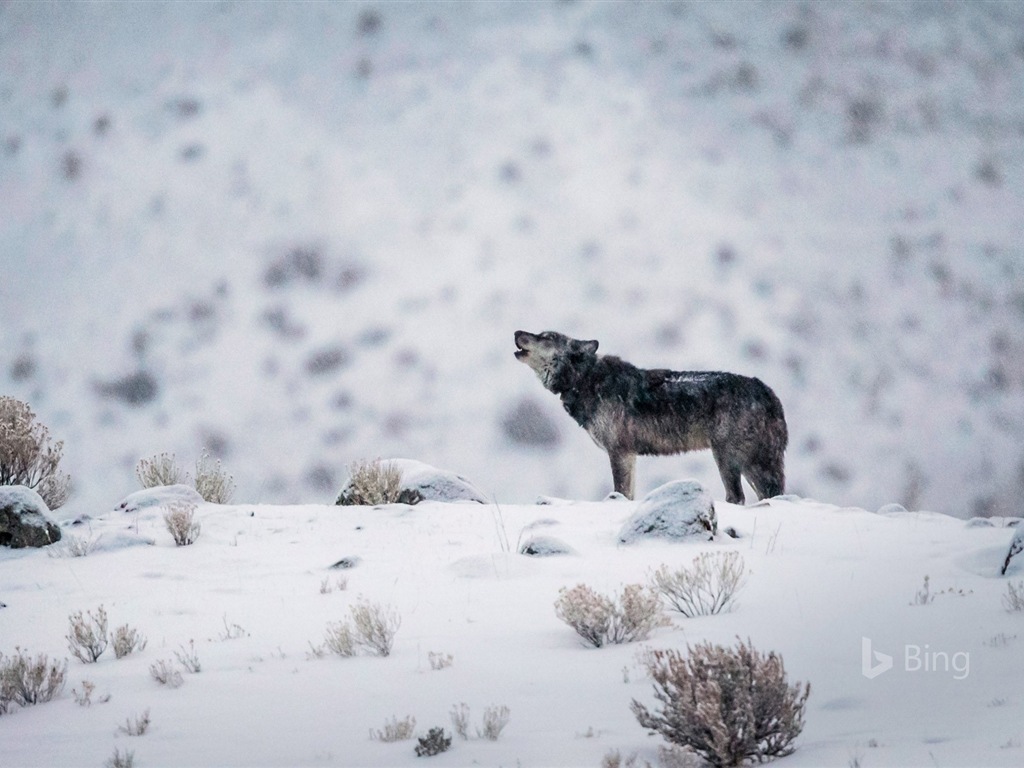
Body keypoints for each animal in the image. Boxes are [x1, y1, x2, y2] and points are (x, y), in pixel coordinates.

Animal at [516, 331, 786, 505]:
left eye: (547, 337)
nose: (518, 331)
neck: (585, 380)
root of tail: (768, 392)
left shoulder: (619, 452)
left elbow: (621, 492)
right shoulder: (629, 455)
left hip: (729, 458)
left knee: (739, 497)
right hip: (748, 463)